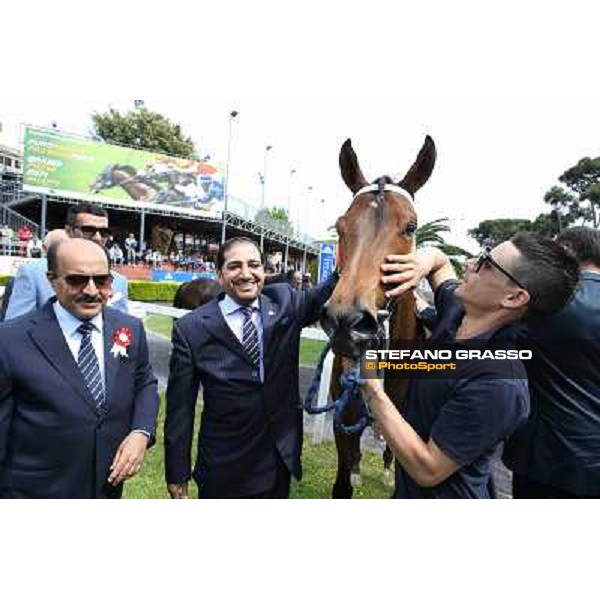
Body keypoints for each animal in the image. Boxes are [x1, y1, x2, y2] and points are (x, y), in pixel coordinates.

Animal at [324, 136, 436, 496]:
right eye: (340, 226)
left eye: (411, 227)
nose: (346, 322)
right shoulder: (343, 418)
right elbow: (343, 482)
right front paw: (353, 473)